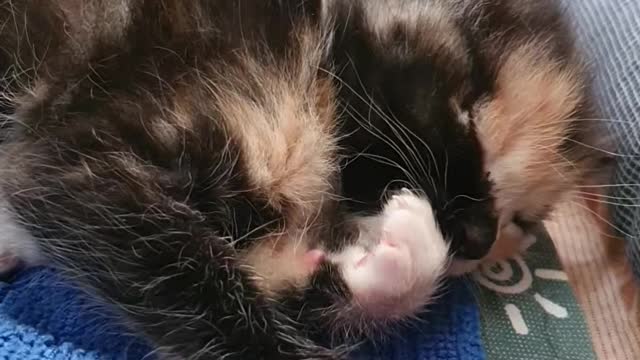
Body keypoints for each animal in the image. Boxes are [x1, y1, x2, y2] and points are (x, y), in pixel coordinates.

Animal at [0, 0, 612, 360]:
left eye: (522, 221)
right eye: (469, 116)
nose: (481, 238)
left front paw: (393, 264)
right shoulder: (77, 155)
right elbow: (193, 284)